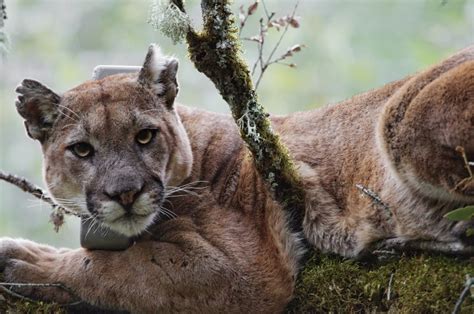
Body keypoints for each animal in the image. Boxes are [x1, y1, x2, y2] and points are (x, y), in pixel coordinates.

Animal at [0, 44, 472, 312]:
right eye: (82, 149)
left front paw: (24, 263)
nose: (126, 193)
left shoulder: (242, 268)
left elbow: (110, 269)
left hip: (406, 115)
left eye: (144, 136)